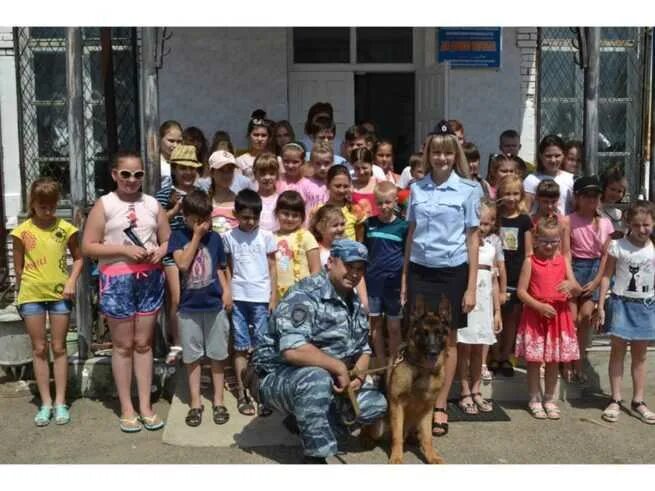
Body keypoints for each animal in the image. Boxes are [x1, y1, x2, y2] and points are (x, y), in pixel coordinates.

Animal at [386, 296, 454, 466]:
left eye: (439, 333)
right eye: (424, 333)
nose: (433, 352)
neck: (422, 370)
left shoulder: (427, 409)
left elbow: (428, 437)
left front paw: (431, 456)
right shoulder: (397, 405)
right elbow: (397, 435)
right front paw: (396, 456)